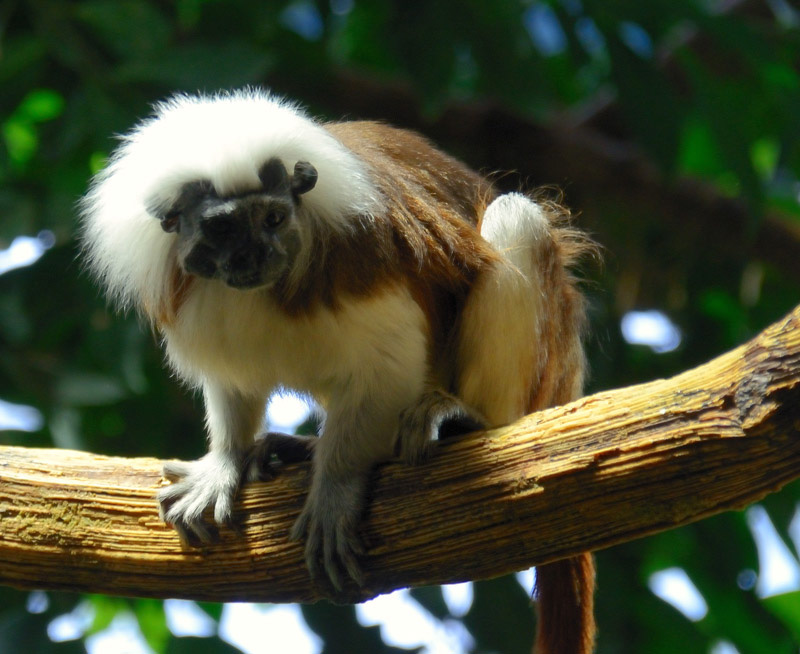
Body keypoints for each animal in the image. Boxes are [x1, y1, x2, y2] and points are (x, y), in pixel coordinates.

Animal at [81, 88, 592, 654]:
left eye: (273, 219)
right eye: (223, 227)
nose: (255, 255)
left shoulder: (362, 260)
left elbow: (387, 369)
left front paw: (336, 487)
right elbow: (234, 381)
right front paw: (226, 461)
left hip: (541, 366)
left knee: (515, 214)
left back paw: (468, 418)